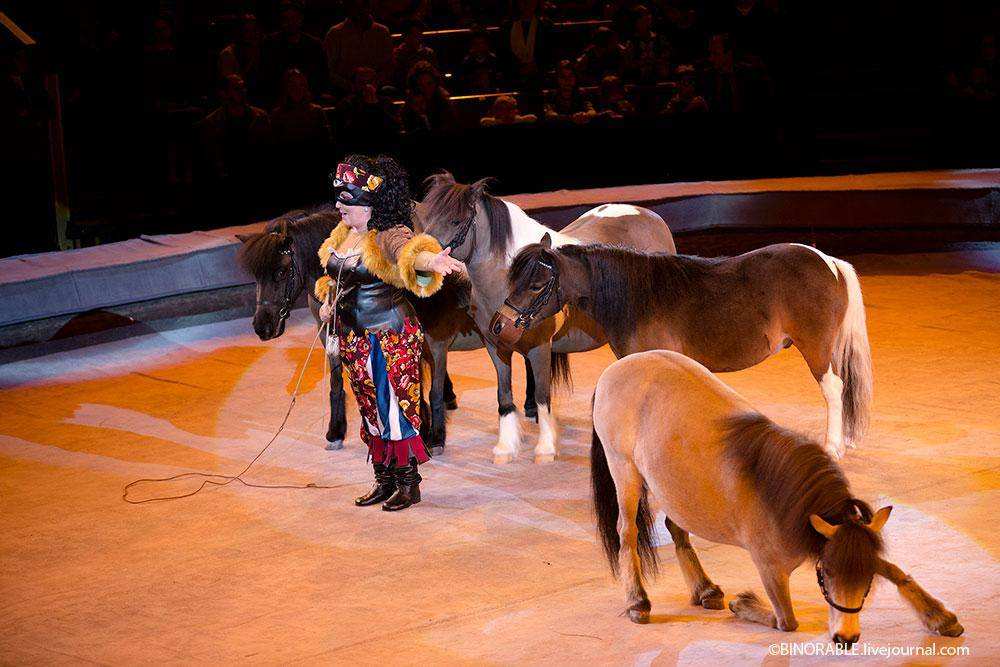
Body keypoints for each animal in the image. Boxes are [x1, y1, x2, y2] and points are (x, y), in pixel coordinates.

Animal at [588, 350, 964, 648]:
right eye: (826, 575)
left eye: (867, 581)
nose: (846, 638)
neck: (788, 504)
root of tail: (618, 367)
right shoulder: (770, 568)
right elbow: (787, 621)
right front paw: (744, 604)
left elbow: (894, 570)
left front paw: (939, 616)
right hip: (624, 471)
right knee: (628, 532)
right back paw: (638, 601)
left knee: (675, 526)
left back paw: (705, 589)